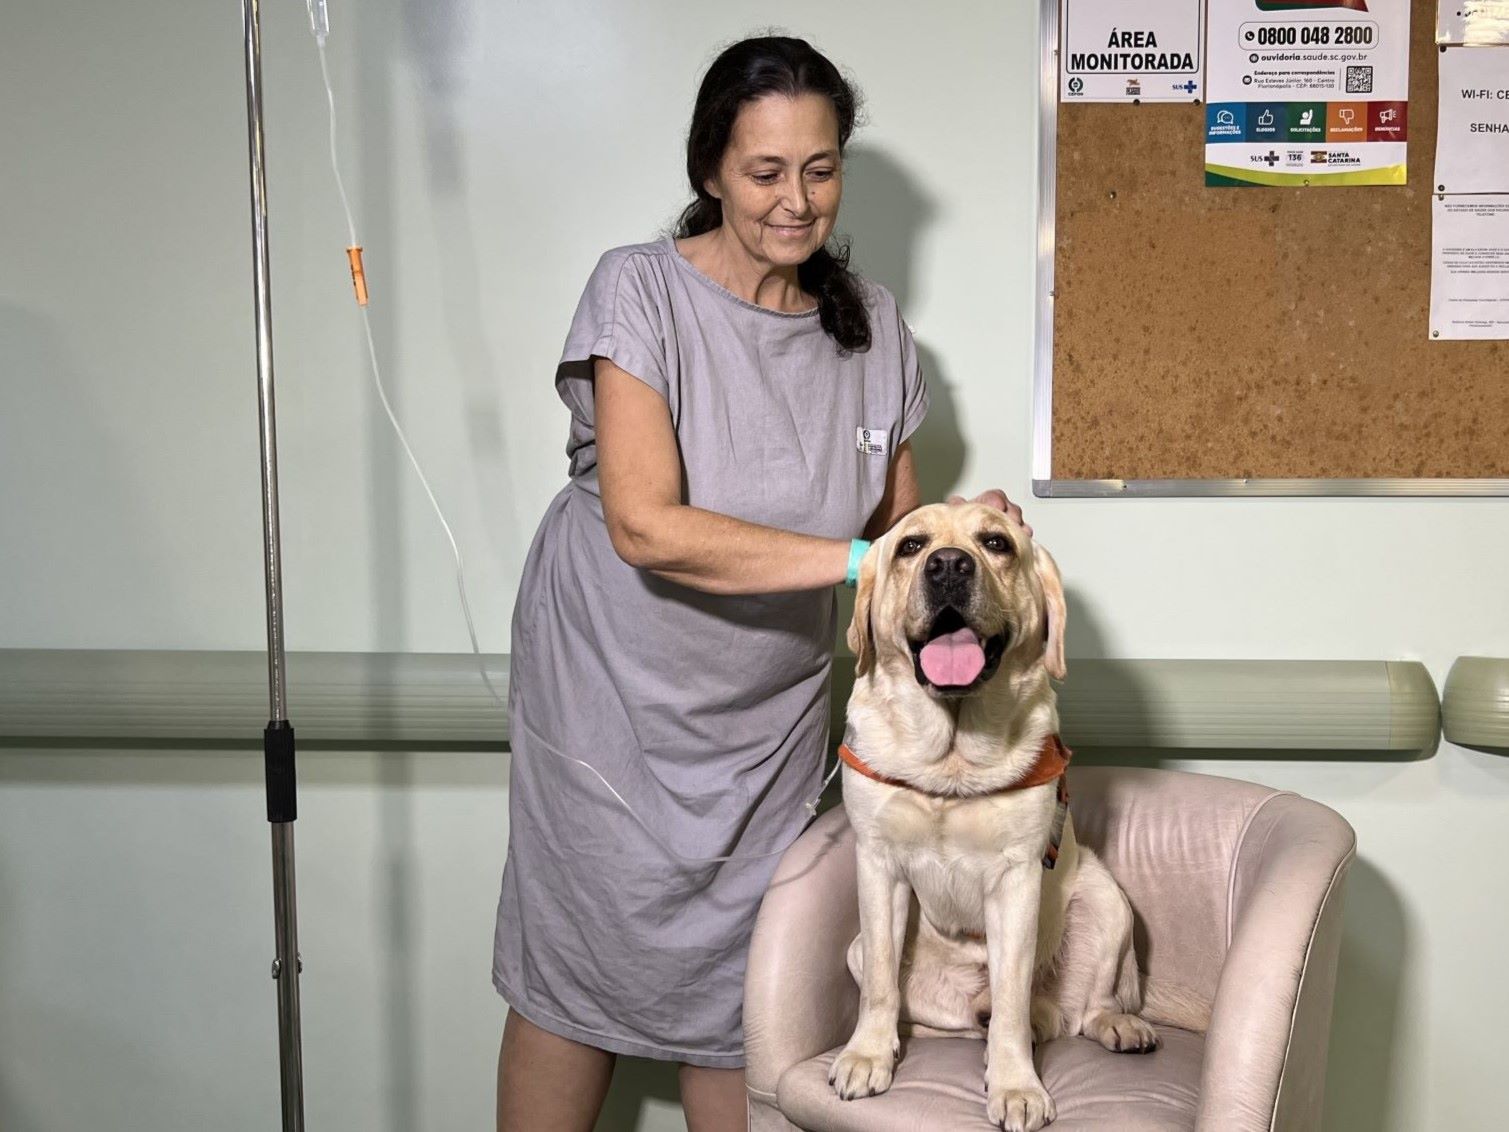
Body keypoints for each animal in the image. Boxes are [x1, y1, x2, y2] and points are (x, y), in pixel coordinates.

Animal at [832, 504, 1183, 1132]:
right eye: (911, 546)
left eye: (996, 542)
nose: (949, 566)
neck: (950, 761)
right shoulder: (877, 864)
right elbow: (879, 987)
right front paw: (867, 1055)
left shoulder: (1017, 879)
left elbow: (1014, 1002)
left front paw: (1017, 1086)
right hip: (859, 950)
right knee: (936, 1013)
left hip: (1107, 900)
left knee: (1077, 1009)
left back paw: (1115, 1024)